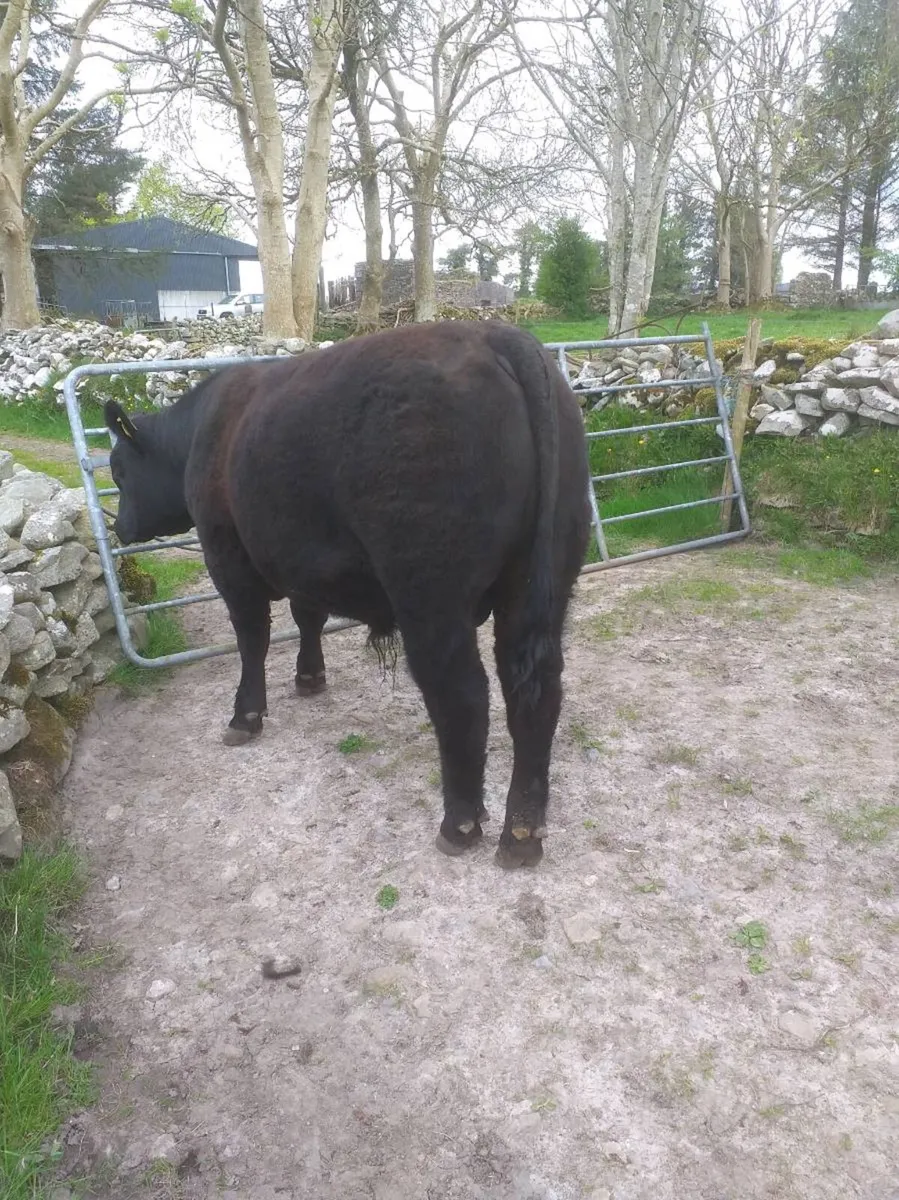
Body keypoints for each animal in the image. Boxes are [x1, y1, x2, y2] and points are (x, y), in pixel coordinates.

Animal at [105, 320, 591, 868]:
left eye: (118, 471)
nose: (120, 528)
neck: (202, 435)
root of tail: (495, 334)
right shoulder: (302, 559)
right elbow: (307, 616)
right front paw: (309, 677)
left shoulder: (227, 556)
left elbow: (252, 637)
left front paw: (245, 715)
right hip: (542, 580)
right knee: (535, 689)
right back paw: (522, 831)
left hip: (430, 592)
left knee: (463, 693)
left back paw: (460, 822)